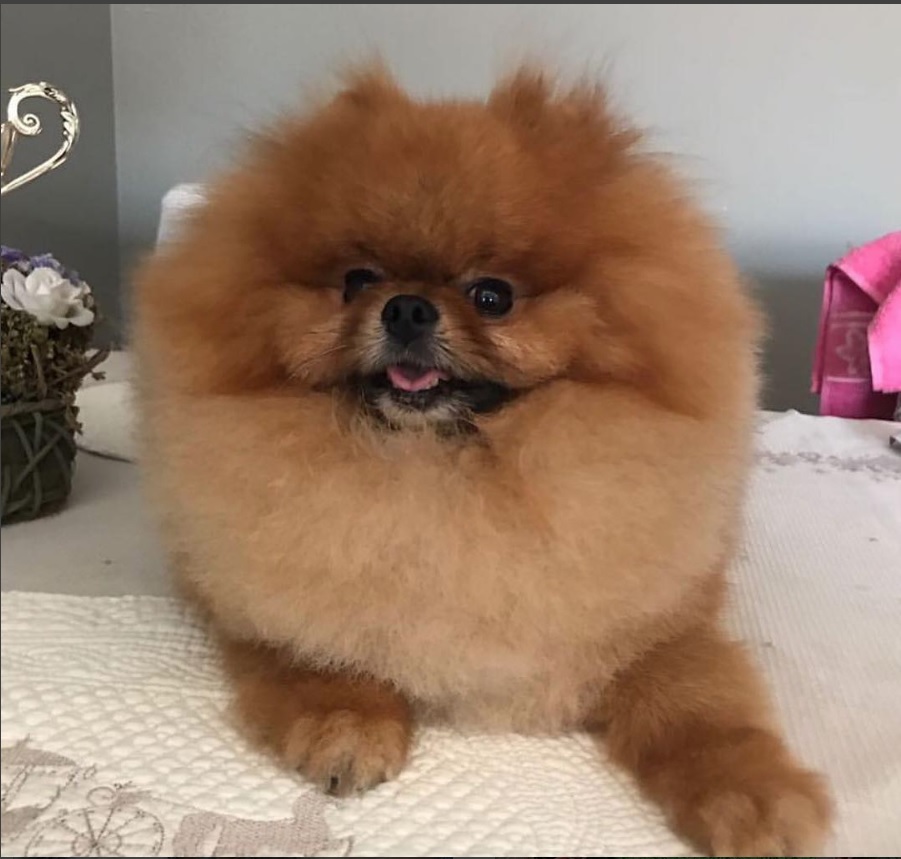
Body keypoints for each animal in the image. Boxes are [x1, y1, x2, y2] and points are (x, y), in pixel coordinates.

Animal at [134, 65, 828, 852]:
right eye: (356, 280)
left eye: (492, 296)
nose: (406, 306)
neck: (442, 471)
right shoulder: (261, 599)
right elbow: (314, 655)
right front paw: (346, 723)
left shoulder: (659, 624)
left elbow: (700, 705)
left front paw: (754, 797)